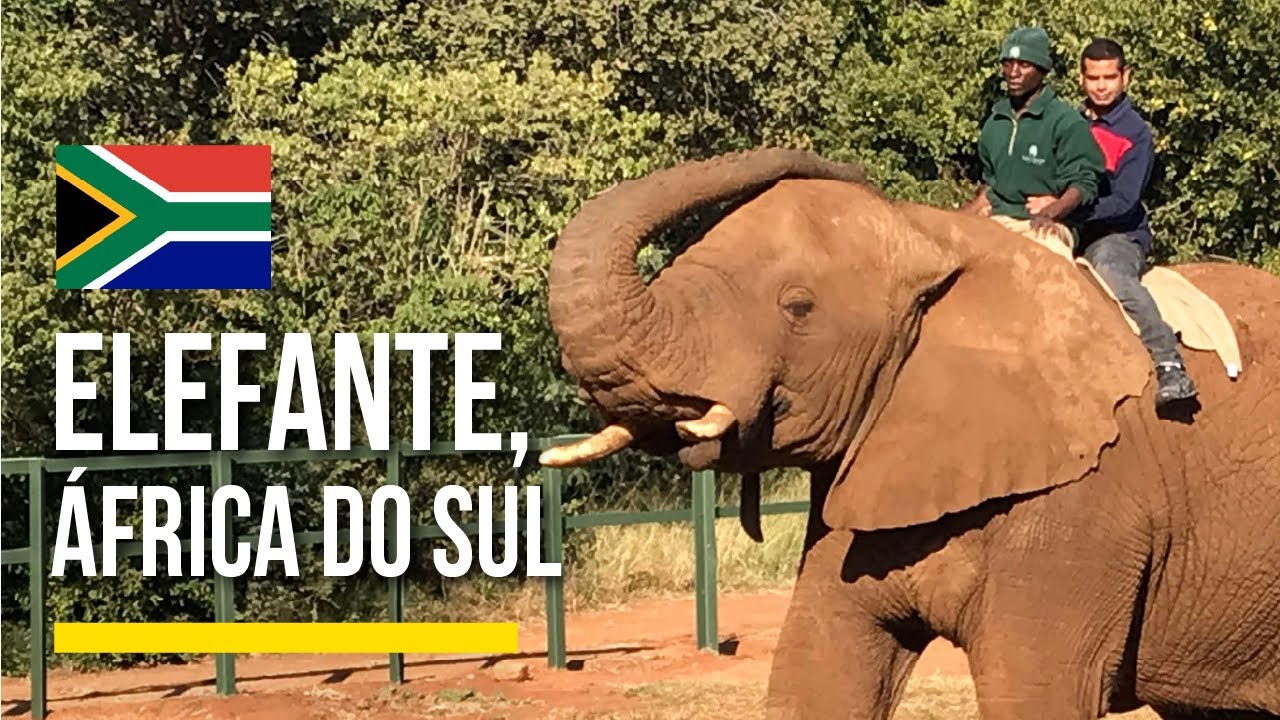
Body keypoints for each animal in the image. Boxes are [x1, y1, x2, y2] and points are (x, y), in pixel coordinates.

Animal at [537, 148, 1280, 719]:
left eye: (798, 308)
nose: (849, 165)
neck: (935, 238)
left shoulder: (1088, 504)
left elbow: (1039, 696)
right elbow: (816, 671)